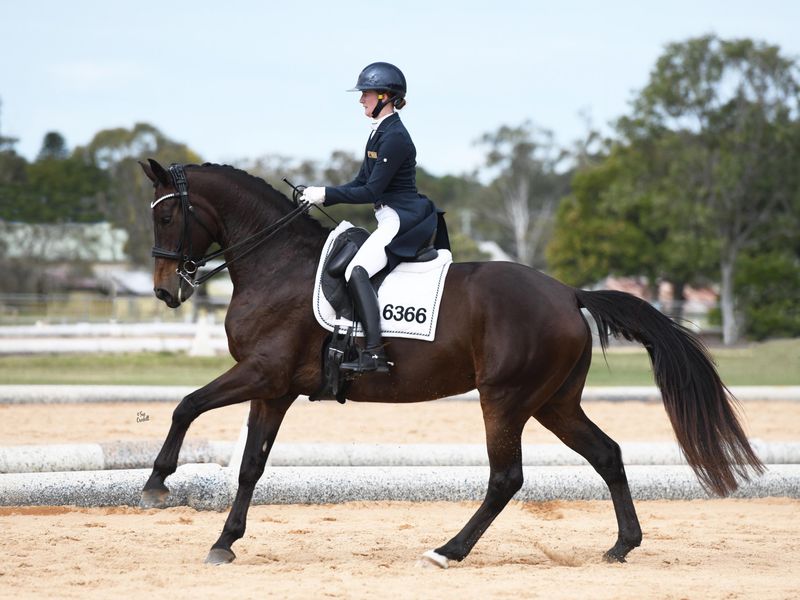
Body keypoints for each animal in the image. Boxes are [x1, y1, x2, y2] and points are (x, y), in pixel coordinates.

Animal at [139, 159, 763, 568]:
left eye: (167, 219)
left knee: (506, 476)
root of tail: (568, 294)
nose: (167, 292)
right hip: (554, 403)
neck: (276, 264)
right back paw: (621, 545)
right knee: (606, 453)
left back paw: (448, 551)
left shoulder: (262, 374)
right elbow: (250, 465)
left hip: (505, 398)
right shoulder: (273, 389)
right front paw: (224, 542)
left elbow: (185, 406)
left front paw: (156, 483)